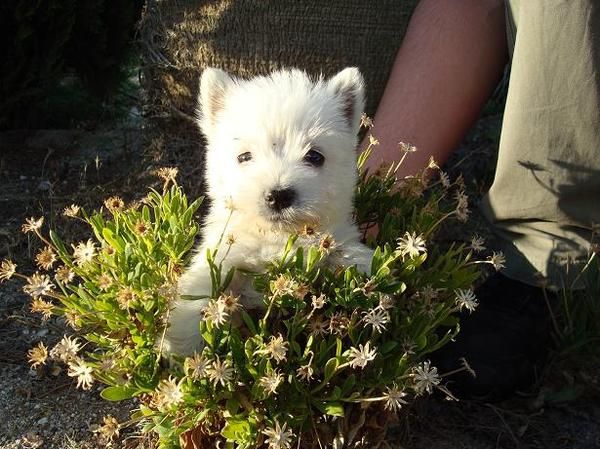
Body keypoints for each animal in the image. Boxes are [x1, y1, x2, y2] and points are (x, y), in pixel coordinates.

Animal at [162, 67, 372, 354]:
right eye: (244, 156)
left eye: (315, 156)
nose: (279, 196)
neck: (278, 239)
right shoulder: (221, 260)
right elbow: (197, 300)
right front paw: (180, 352)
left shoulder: (340, 245)